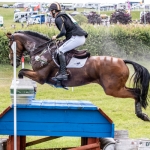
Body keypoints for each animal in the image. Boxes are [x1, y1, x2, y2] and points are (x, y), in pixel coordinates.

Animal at [6, 30, 150, 122]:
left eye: (9, 46)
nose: (13, 63)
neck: (41, 50)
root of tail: (122, 61)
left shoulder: (40, 76)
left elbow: (21, 72)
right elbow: (23, 72)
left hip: (113, 89)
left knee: (136, 93)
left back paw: (141, 115)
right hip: (117, 88)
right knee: (136, 92)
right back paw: (142, 115)